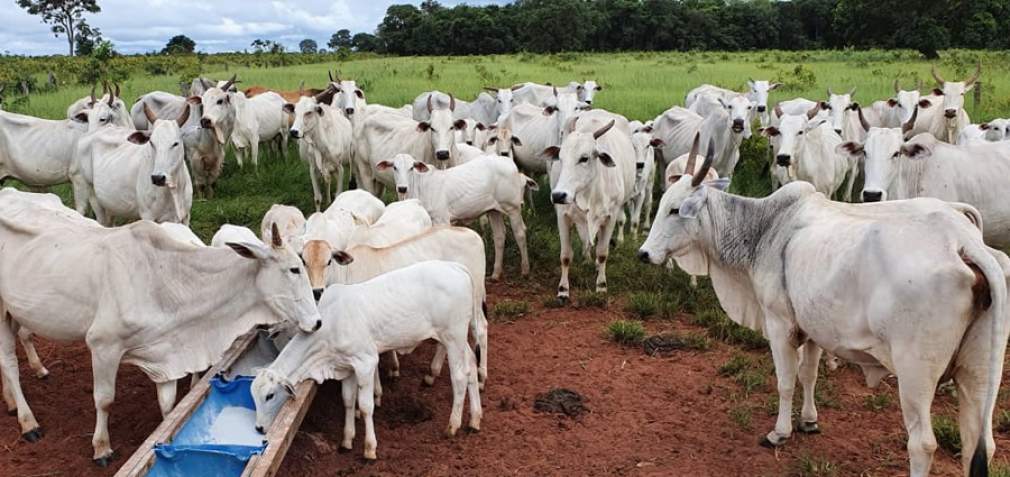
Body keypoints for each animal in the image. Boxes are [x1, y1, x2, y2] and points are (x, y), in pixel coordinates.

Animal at [0, 189, 321, 464]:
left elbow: (168, 408)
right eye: (294, 268)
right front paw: (101, 448)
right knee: (10, 364)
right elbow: (104, 400)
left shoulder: (166, 353)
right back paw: (28, 422)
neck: (167, 279)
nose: (317, 322)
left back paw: (15, 397)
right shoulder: (103, 344)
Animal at [251, 260, 482, 461]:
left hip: (453, 337)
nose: (259, 428)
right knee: (471, 366)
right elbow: (348, 400)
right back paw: (475, 419)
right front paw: (346, 440)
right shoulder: (346, 367)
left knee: (460, 377)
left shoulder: (366, 363)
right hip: (458, 340)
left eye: (270, 396)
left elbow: (365, 406)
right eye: (253, 397)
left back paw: (452, 426)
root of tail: (454, 266)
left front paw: (369, 449)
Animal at [381, 153, 534, 280]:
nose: (402, 188)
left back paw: (525, 270)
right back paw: (496, 274)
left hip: (513, 207)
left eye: (412, 167)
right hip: (493, 210)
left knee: (520, 233)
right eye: (394, 167)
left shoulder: (441, 219)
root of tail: (510, 163)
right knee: (499, 236)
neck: (419, 189)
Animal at [546, 110, 635, 301]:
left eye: (584, 158)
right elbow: (565, 256)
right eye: (561, 158)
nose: (558, 195)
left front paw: (601, 285)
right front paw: (563, 290)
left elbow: (602, 253)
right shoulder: (562, 216)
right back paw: (587, 258)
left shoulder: (610, 216)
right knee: (586, 241)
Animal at [637, 148, 1009, 477]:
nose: (644, 253)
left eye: (674, 210)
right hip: (977, 370)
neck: (765, 227)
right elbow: (809, 375)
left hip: (915, 373)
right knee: (979, 443)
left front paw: (780, 432)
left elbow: (786, 381)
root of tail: (962, 242)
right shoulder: (813, 328)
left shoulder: (779, 325)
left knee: (923, 445)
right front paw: (809, 421)